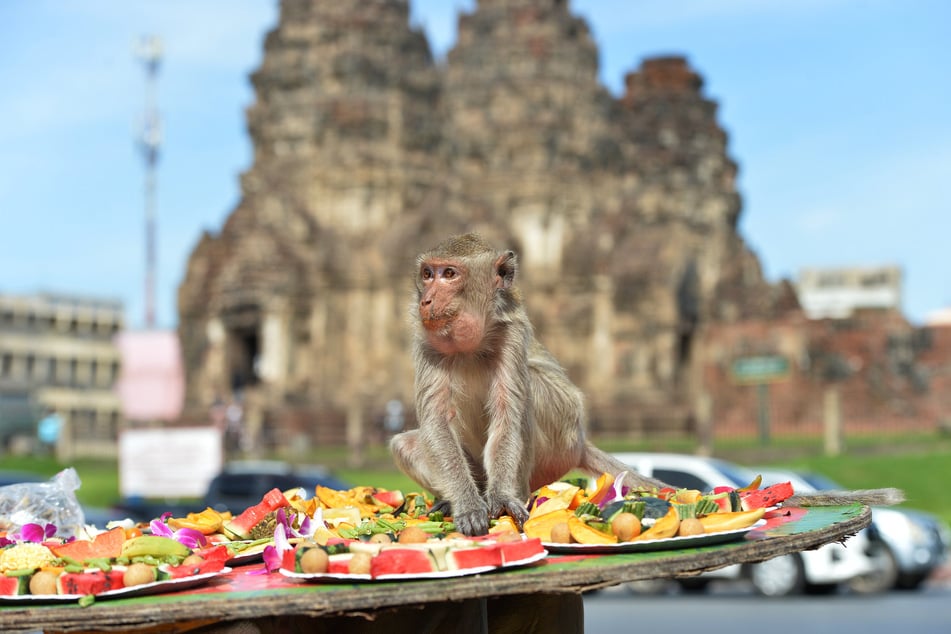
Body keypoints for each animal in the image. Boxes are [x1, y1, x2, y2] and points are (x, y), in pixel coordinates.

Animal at [388, 232, 668, 532]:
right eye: (427, 274)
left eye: (449, 274)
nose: (426, 301)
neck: (470, 346)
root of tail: (581, 445)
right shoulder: (427, 341)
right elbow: (437, 422)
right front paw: (467, 504)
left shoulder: (511, 335)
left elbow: (507, 416)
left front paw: (501, 497)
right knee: (404, 445)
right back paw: (450, 501)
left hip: (562, 441)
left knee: (529, 388)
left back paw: (517, 494)